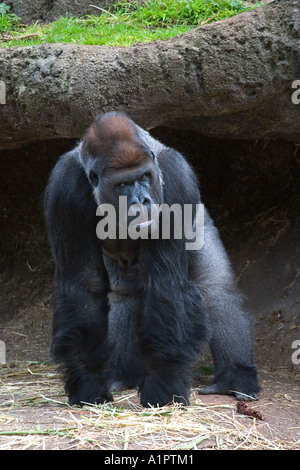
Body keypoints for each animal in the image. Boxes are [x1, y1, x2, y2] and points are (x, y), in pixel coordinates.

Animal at [44, 112, 258, 406]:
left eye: (144, 176)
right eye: (122, 184)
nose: (141, 200)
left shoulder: (176, 176)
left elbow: (167, 283)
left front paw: (163, 385)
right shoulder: (64, 189)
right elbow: (84, 284)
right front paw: (88, 383)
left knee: (215, 290)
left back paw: (235, 378)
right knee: (122, 293)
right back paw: (122, 376)